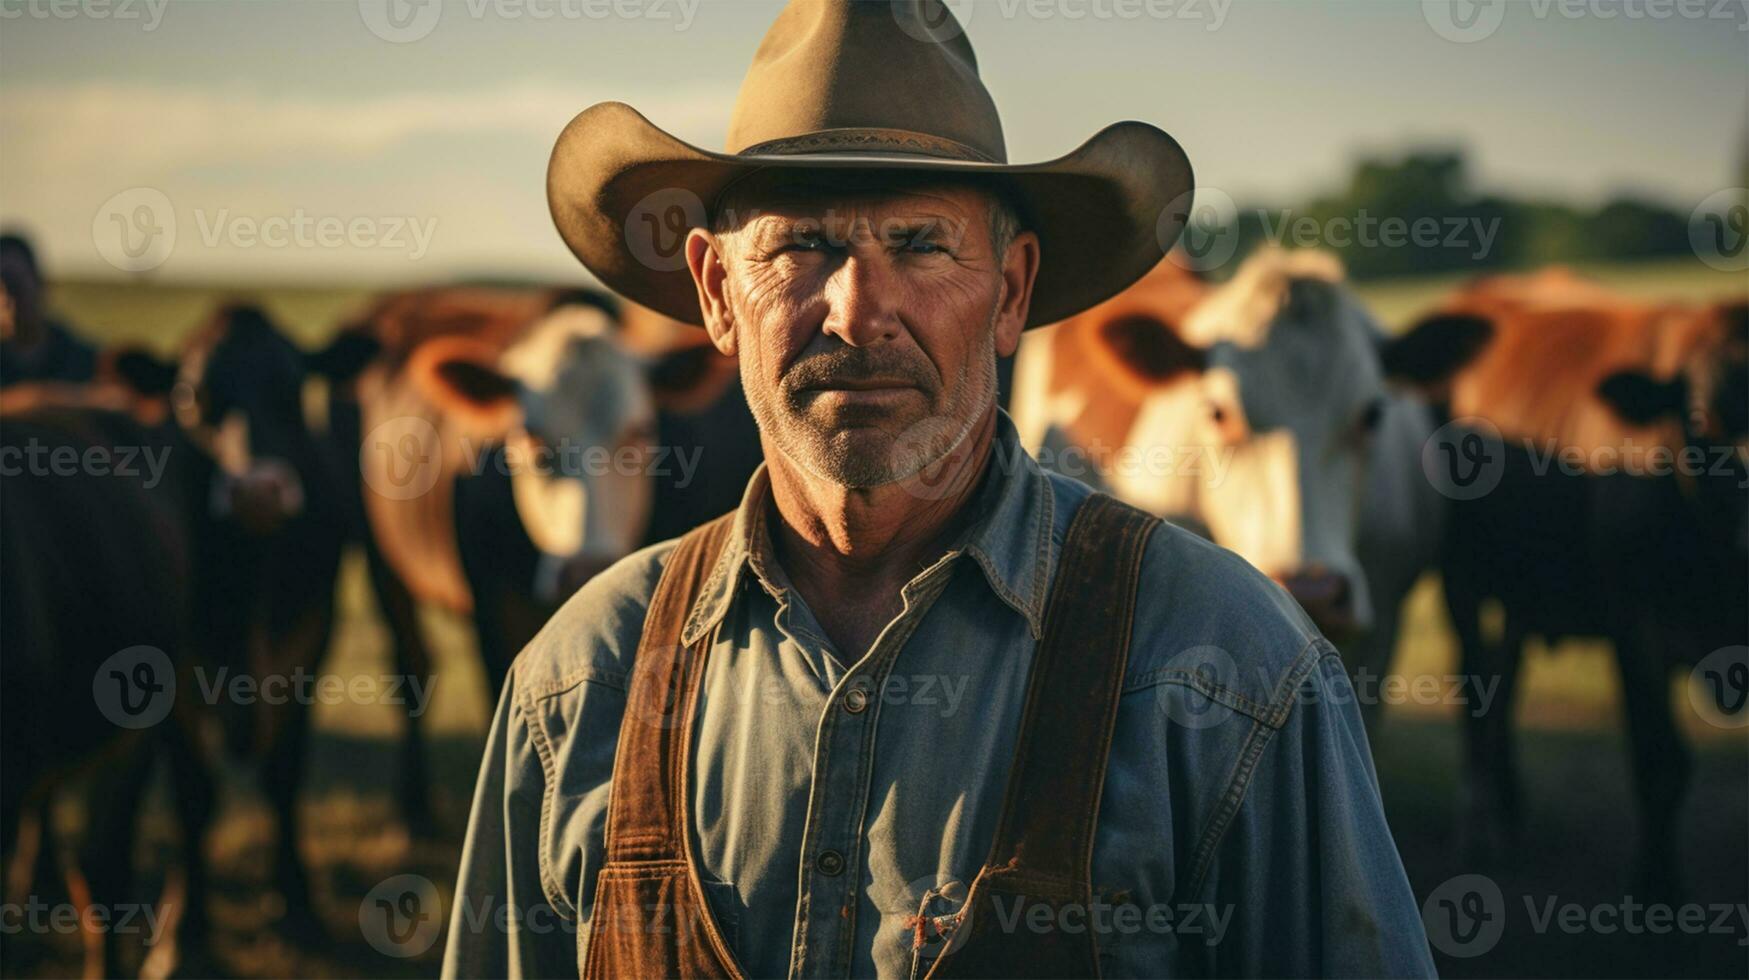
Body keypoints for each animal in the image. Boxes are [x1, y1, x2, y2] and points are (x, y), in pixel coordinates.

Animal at [1413, 269, 1742, 896]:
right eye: (1698, 420)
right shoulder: (1635, 623)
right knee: (1475, 682)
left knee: (1504, 683)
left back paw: (1510, 808)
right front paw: (1657, 887)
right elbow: (1660, 762)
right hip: (1462, 580)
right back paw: (1481, 826)